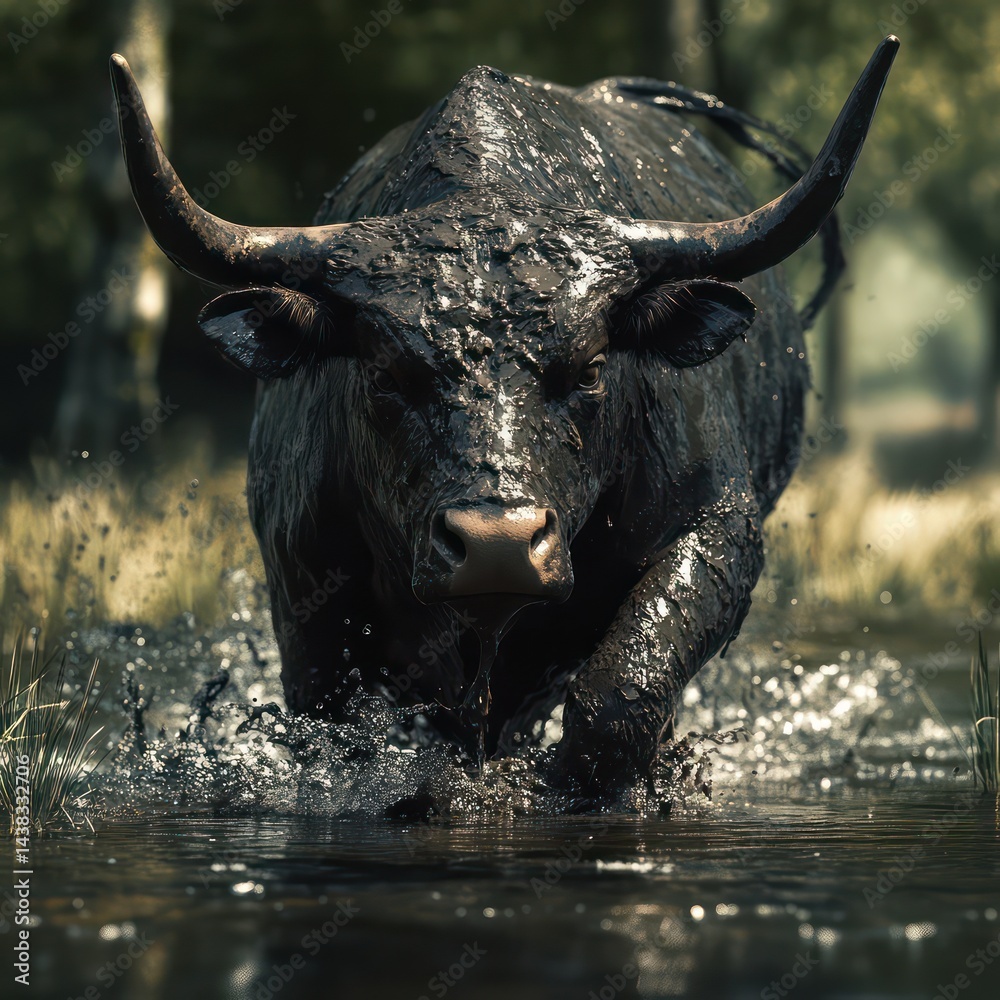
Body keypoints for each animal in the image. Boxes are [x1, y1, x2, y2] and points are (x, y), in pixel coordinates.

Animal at [110, 37, 898, 808]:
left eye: (591, 367)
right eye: (383, 373)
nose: (499, 545)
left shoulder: (716, 526)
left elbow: (622, 691)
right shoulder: (302, 585)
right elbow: (348, 738)